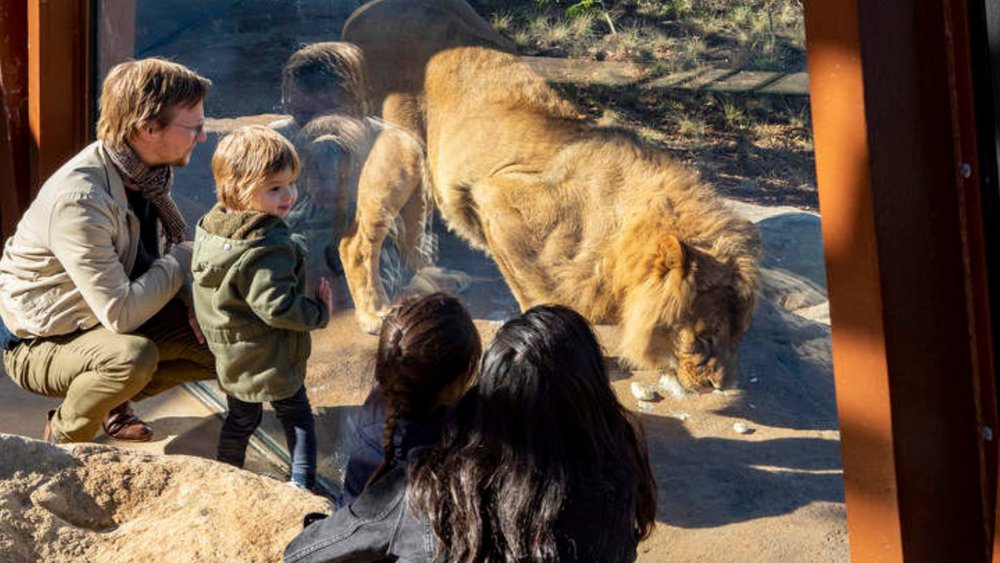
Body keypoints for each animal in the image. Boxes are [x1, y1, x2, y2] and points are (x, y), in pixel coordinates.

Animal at [339, 0, 761, 390]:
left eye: (740, 335)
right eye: (706, 338)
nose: (724, 386)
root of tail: (362, 13)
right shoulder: (495, 199)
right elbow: (538, 293)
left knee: (411, 221)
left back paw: (434, 276)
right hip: (399, 143)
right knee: (355, 241)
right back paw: (373, 313)